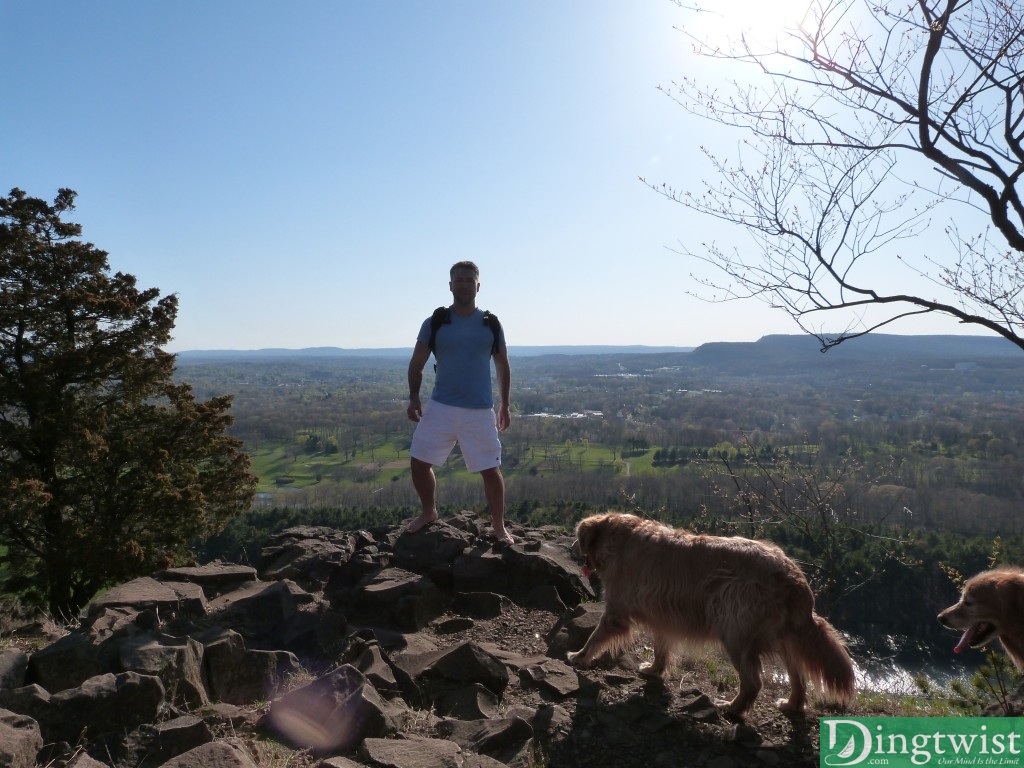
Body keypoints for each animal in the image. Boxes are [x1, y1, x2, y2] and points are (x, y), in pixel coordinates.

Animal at [569, 514, 856, 720]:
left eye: (578, 538)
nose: (572, 547)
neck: (617, 536)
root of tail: (794, 577)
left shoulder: (616, 611)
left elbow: (595, 637)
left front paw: (579, 656)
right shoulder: (663, 617)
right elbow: (661, 649)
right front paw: (654, 670)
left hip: (736, 634)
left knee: (753, 682)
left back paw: (733, 708)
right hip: (785, 640)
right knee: (798, 677)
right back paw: (790, 704)